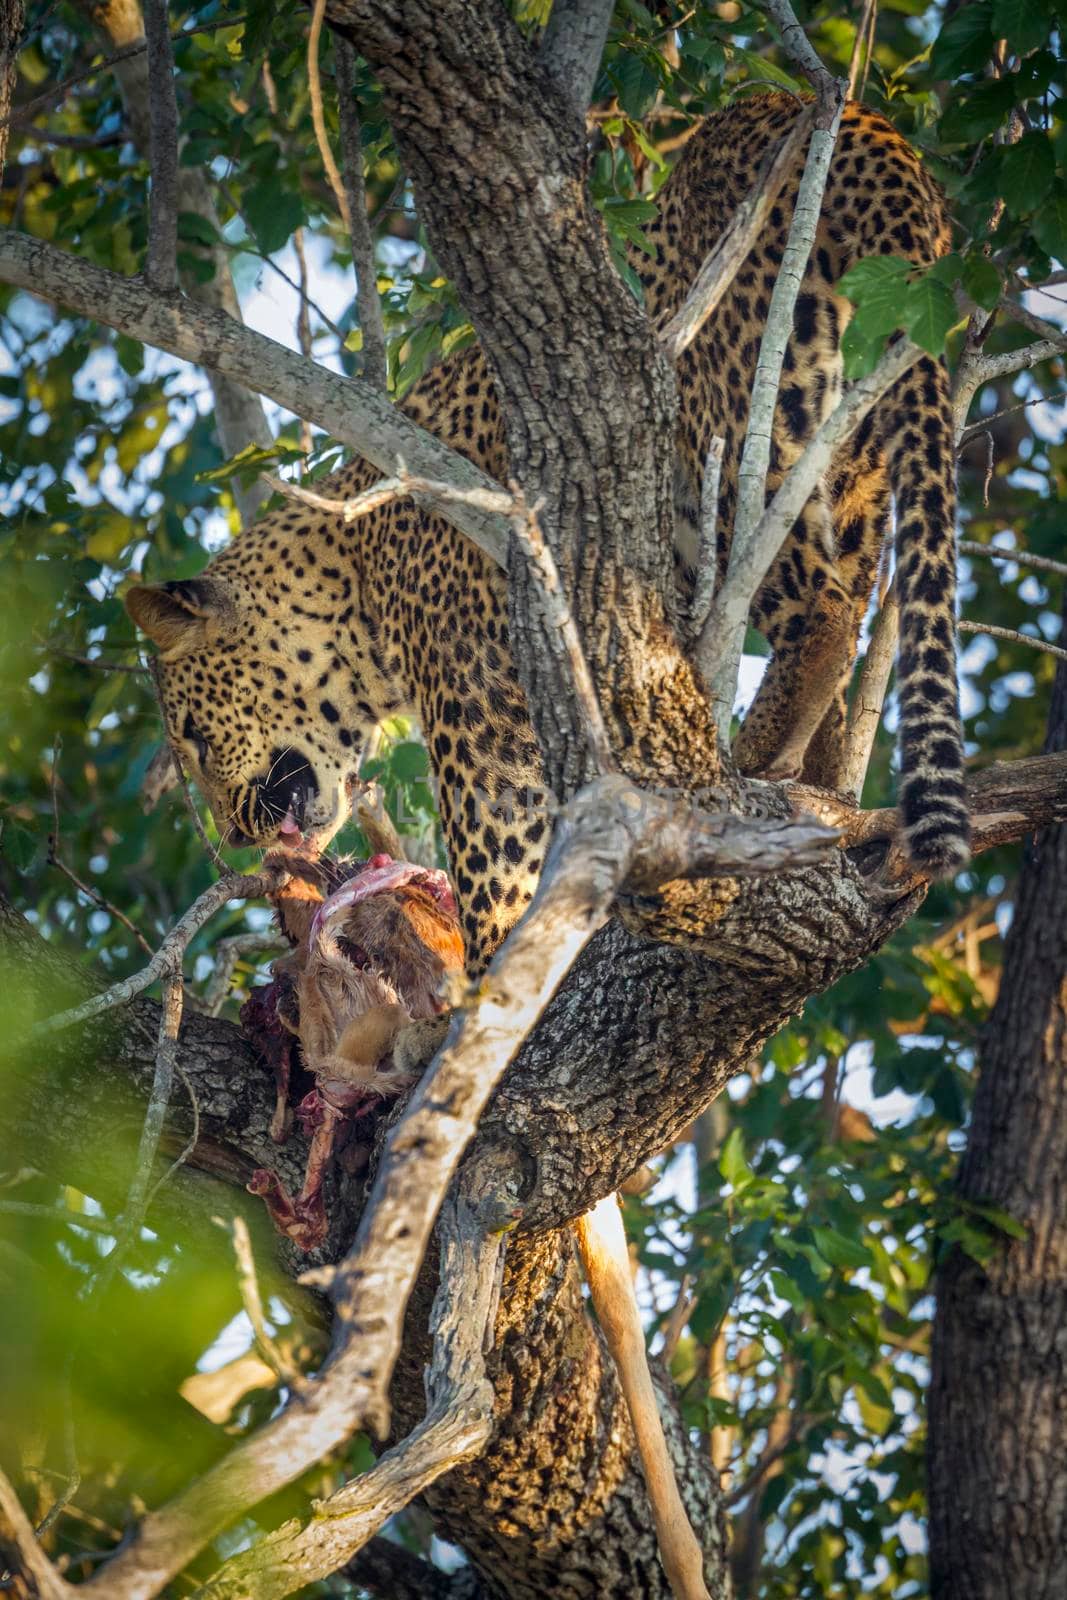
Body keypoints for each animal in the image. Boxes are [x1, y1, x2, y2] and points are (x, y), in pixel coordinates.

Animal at [129, 100, 972, 979]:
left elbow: (493, 874)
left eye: (193, 738)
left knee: (822, 611)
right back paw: (813, 784)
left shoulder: (476, 714)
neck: (349, 577)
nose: (235, 837)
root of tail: (861, 122)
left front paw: (482, 976)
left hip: (738, 420)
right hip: (857, 445)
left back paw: (746, 769)